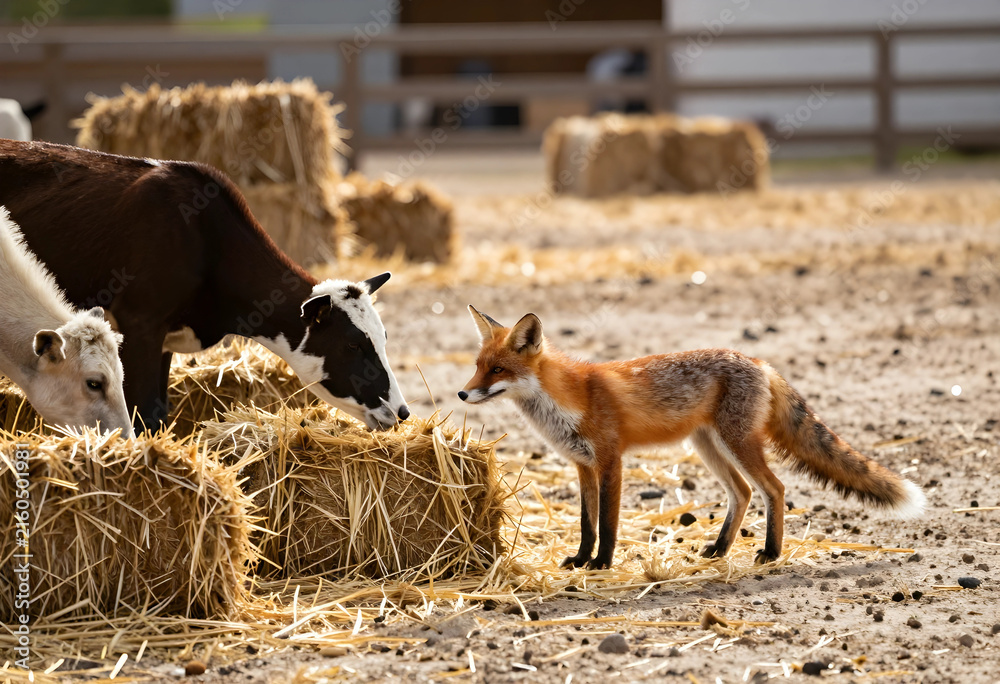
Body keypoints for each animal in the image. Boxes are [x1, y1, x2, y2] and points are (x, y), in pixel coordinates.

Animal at [0, 139, 409, 431]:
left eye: (384, 339)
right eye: (353, 344)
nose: (401, 411)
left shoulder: (162, 341)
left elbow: (158, 413)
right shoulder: (141, 325)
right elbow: (145, 414)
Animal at [458, 306, 926, 570]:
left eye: (497, 370)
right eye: (478, 366)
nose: (462, 393)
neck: (569, 398)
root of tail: (759, 361)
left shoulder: (610, 460)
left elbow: (607, 524)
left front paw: (602, 564)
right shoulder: (582, 465)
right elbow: (587, 524)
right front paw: (579, 559)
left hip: (736, 443)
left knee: (774, 488)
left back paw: (771, 553)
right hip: (708, 447)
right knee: (743, 493)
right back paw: (719, 549)